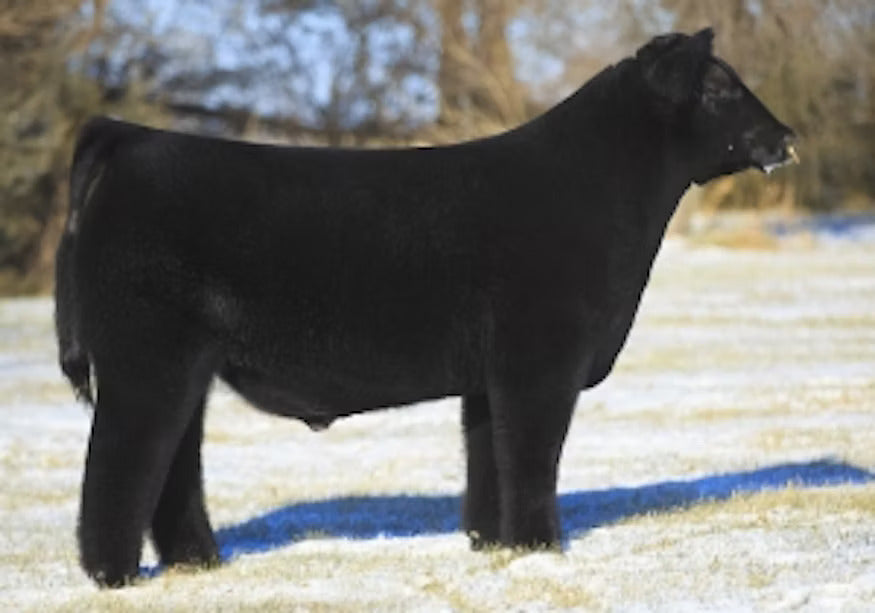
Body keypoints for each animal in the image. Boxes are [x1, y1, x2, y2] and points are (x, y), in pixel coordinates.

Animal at [56, 28, 796, 587]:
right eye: (718, 88)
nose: (786, 135)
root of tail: (130, 138)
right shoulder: (540, 361)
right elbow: (533, 457)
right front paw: (542, 549)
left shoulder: (490, 377)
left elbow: (489, 460)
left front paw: (496, 546)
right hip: (146, 360)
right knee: (119, 466)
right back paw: (114, 577)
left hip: (184, 368)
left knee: (172, 467)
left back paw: (200, 564)